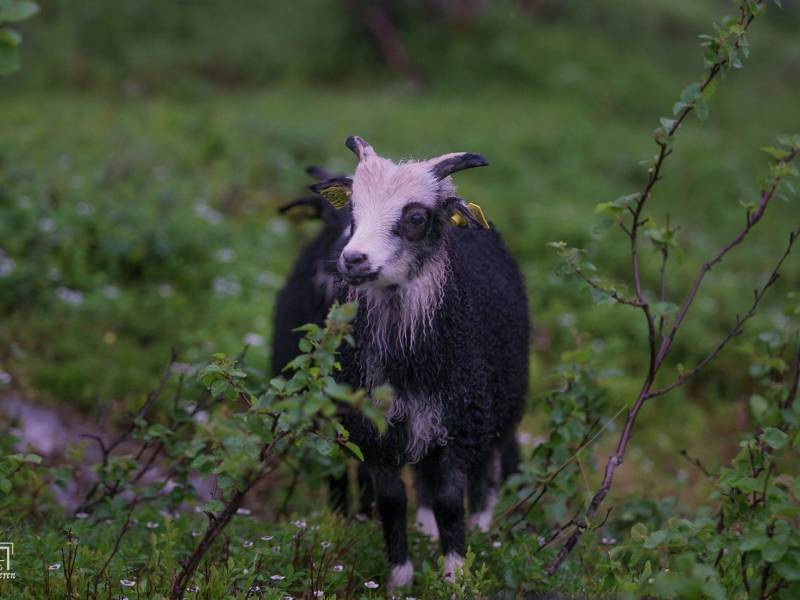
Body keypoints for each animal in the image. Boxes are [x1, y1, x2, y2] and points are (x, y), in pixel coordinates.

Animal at [312, 136, 532, 592]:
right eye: (353, 209)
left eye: (415, 217)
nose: (353, 260)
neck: (410, 364)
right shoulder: (375, 429)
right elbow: (392, 500)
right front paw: (400, 578)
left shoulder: (460, 421)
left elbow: (451, 499)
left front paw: (456, 573)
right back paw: (428, 530)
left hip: (500, 407)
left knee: (488, 470)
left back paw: (483, 529)